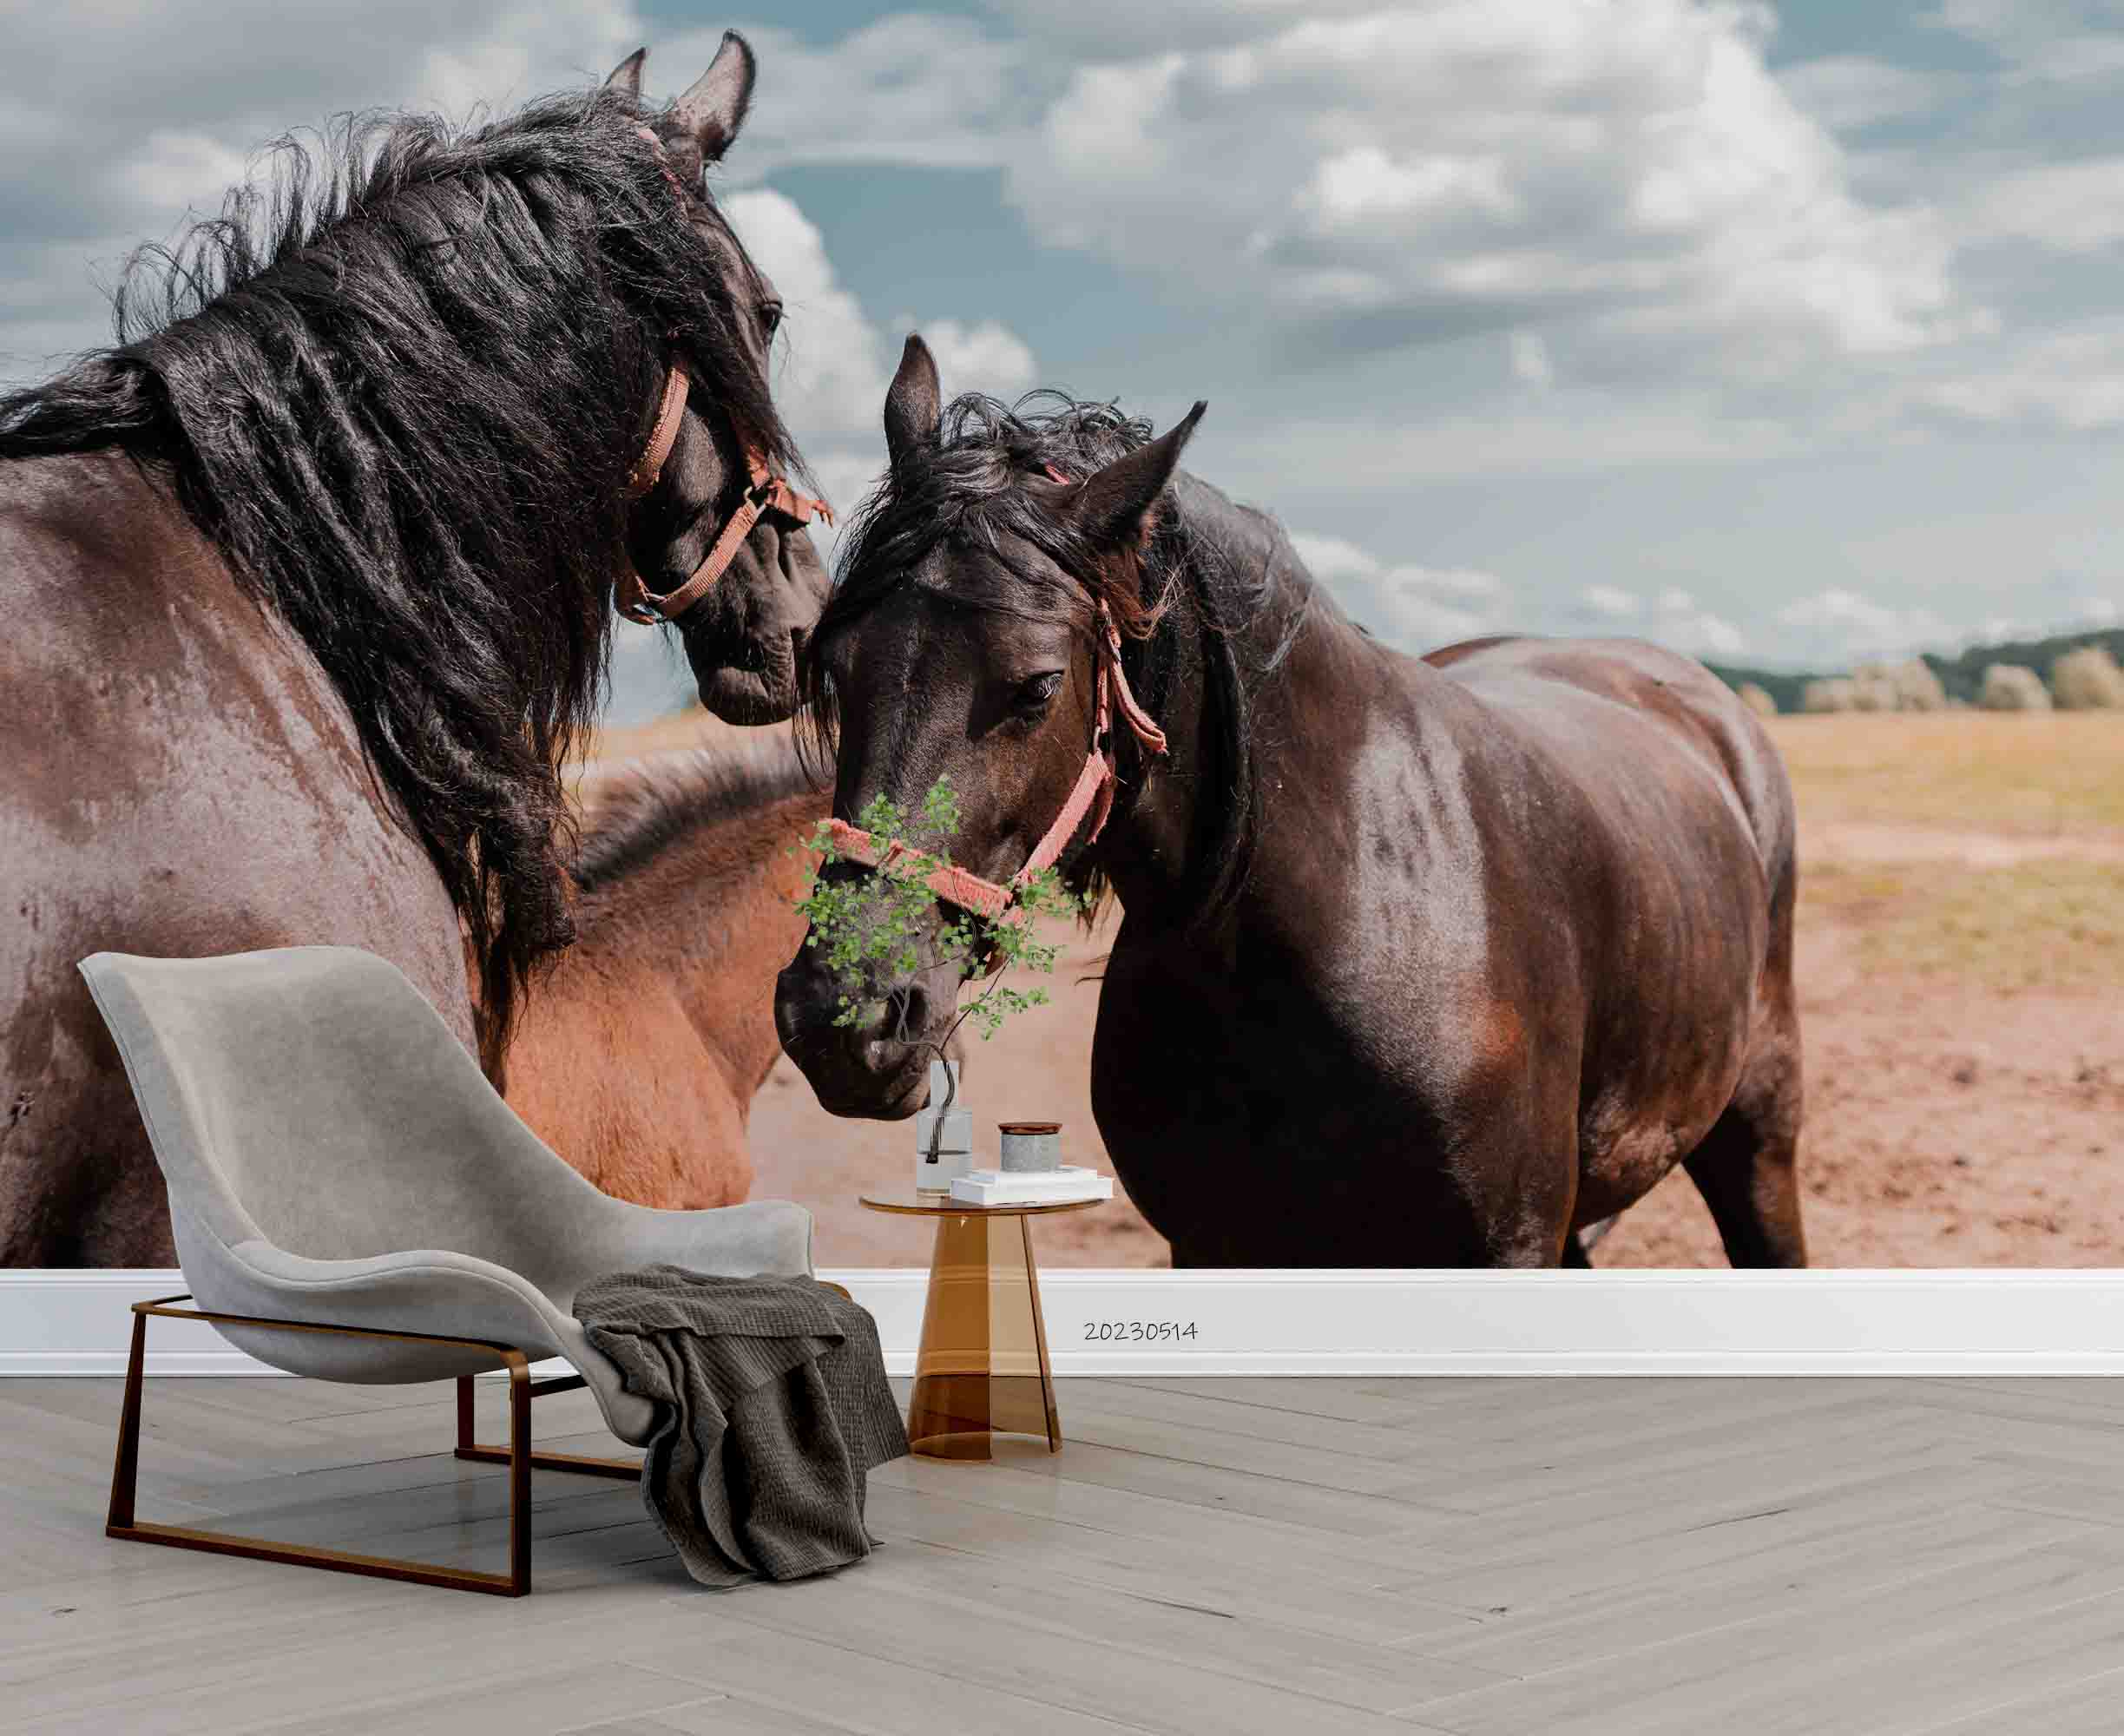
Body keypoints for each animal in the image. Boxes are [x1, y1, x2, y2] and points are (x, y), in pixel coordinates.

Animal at [774, 336, 1806, 1268]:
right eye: (835, 667)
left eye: (1034, 688)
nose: (840, 1016)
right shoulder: (1216, 1248)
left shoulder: (1507, 1248)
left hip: (1757, 1130)